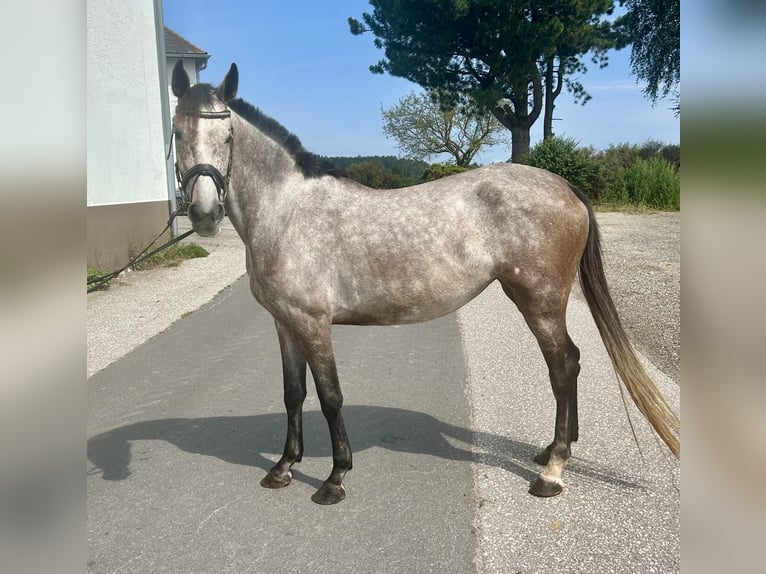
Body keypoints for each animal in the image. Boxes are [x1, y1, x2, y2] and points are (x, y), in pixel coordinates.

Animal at [171, 60, 680, 506]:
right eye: (178, 133)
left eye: (228, 135)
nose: (205, 214)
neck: (287, 211)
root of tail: (563, 186)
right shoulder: (284, 323)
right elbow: (293, 393)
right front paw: (282, 467)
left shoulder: (313, 323)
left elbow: (331, 397)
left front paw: (335, 479)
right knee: (568, 367)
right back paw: (555, 452)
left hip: (540, 300)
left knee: (564, 366)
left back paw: (553, 471)